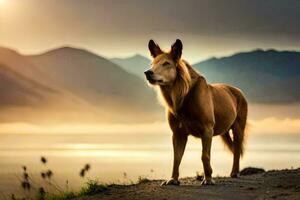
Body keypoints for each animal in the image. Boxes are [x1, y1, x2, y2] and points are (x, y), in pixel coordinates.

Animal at [144, 39, 247, 186]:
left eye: (166, 63)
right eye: (152, 64)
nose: (148, 72)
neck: (181, 96)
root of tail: (238, 91)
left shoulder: (207, 129)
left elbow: (205, 156)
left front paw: (208, 178)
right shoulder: (178, 133)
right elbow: (177, 157)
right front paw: (173, 179)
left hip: (238, 128)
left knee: (237, 150)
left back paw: (234, 172)